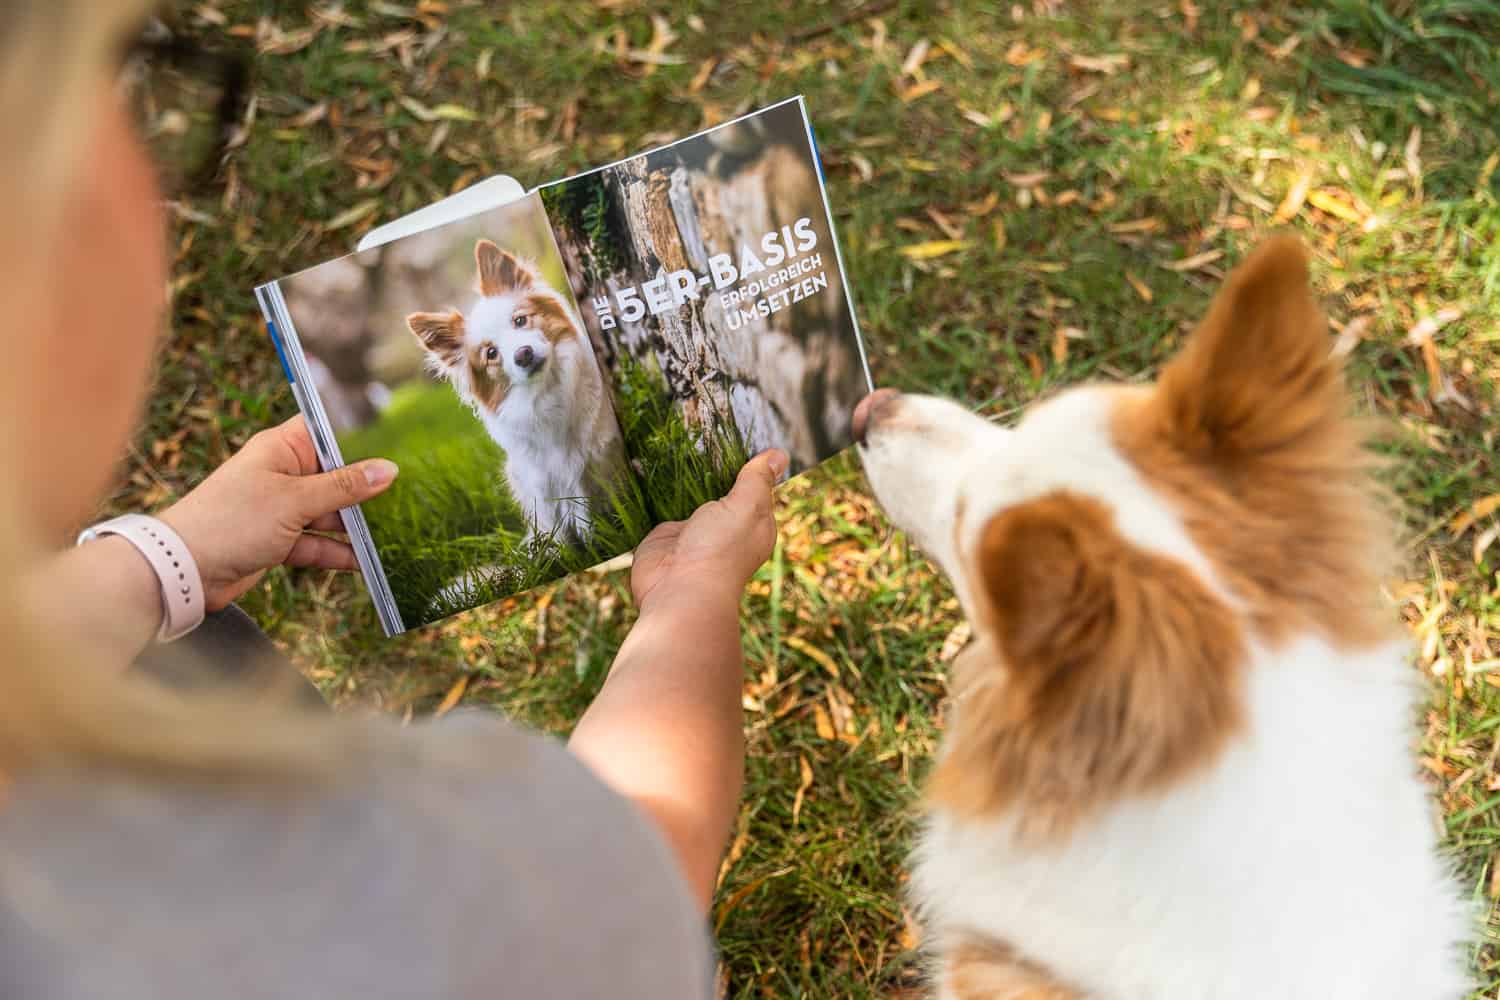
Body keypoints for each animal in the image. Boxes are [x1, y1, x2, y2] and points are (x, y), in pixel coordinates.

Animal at [405, 241, 627, 548]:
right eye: (491, 353)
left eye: (520, 320)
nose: (523, 354)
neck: (546, 393)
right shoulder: (541, 481)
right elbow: (559, 529)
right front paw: (565, 552)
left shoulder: (598, 460)